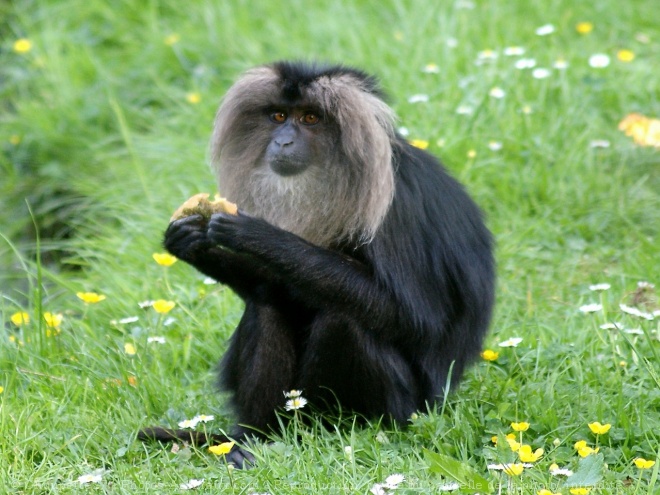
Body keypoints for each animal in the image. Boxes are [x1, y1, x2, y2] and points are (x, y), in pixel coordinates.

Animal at [142, 60, 498, 466]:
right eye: (279, 116)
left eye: (310, 118)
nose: (282, 141)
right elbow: (270, 287)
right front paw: (193, 244)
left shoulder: (396, 207)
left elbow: (416, 318)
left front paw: (257, 235)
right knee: (269, 306)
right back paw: (253, 438)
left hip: (405, 408)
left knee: (342, 321)